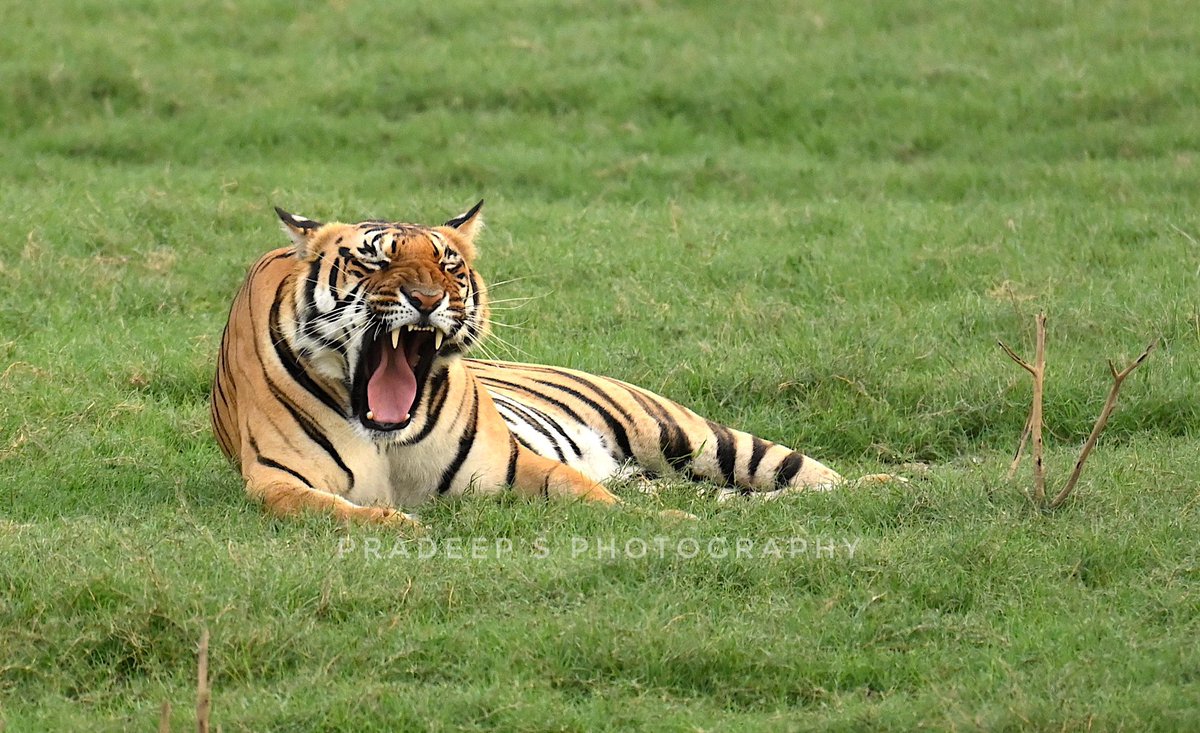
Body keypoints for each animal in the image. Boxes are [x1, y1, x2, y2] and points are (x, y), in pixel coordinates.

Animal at [208, 200, 844, 527]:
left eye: (448, 266)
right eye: (374, 262)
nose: (428, 299)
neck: (387, 437)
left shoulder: (514, 465)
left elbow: (591, 496)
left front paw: (670, 526)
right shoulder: (278, 480)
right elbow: (334, 511)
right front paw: (399, 525)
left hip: (692, 436)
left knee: (822, 479)